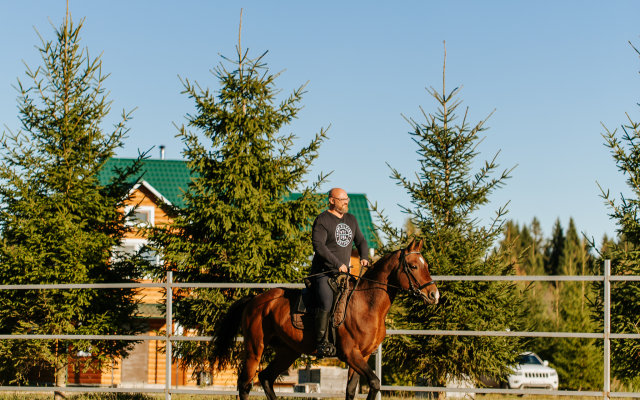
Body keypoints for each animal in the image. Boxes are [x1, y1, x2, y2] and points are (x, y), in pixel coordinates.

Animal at [212, 239, 438, 398]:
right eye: (413, 266)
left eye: (426, 265)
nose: (434, 295)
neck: (367, 304)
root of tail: (255, 299)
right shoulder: (351, 354)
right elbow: (374, 383)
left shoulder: (362, 356)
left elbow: (351, 390)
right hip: (254, 349)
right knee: (245, 385)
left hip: (287, 351)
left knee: (266, 378)